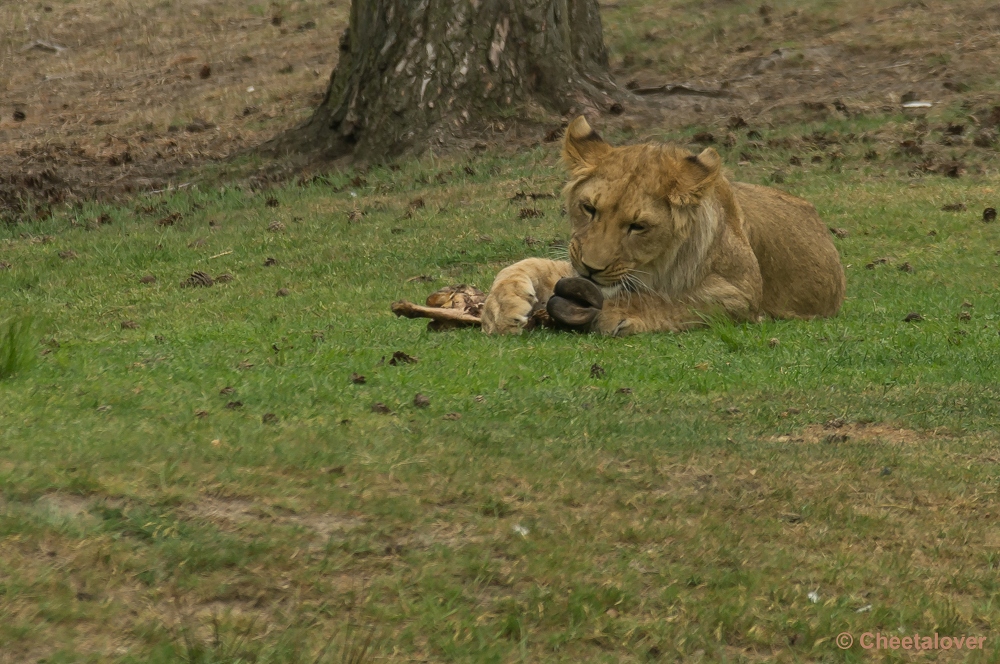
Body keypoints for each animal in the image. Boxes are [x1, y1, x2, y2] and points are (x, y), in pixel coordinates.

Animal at [480, 115, 848, 338]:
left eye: (637, 226)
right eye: (589, 209)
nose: (591, 270)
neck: (652, 268)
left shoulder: (743, 293)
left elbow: (674, 300)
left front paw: (613, 312)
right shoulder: (576, 262)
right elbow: (524, 264)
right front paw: (500, 307)